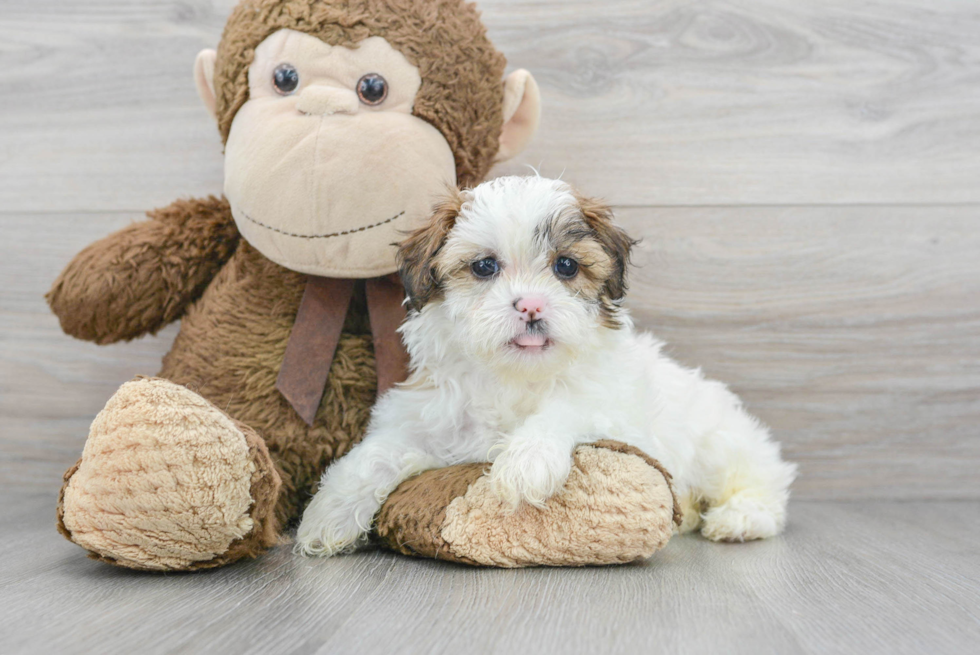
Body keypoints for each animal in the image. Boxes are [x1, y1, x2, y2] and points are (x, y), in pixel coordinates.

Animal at [296, 177, 796, 556]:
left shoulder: (614, 412)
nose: (532, 305)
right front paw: (326, 515)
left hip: (718, 441)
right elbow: (378, 454)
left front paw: (526, 461)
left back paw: (739, 517)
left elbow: (566, 409)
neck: (515, 376)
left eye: (566, 266)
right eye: (484, 266)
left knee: (761, 479)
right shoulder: (427, 419)